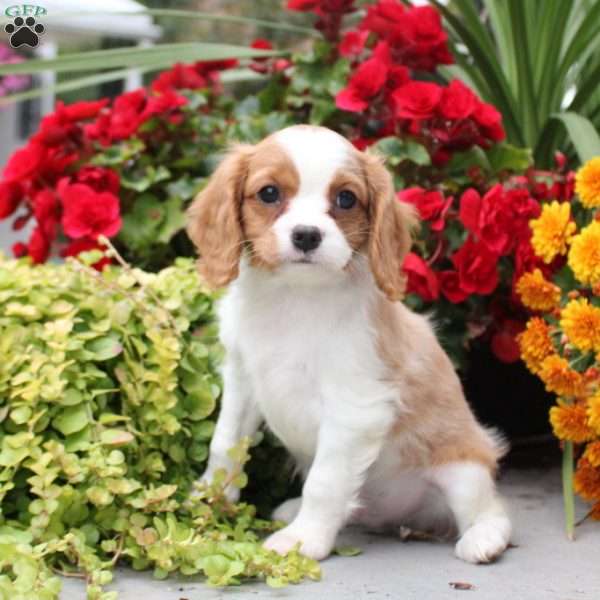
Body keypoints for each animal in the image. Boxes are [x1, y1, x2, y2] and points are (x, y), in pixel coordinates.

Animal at [188, 125, 510, 564]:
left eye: (345, 199)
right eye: (269, 193)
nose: (307, 235)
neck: (294, 297)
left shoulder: (355, 407)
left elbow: (324, 482)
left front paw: (302, 540)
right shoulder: (242, 381)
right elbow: (224, 442)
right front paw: (210, 498)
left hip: (462, 467)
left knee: (490, 508)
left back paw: (484, 538)